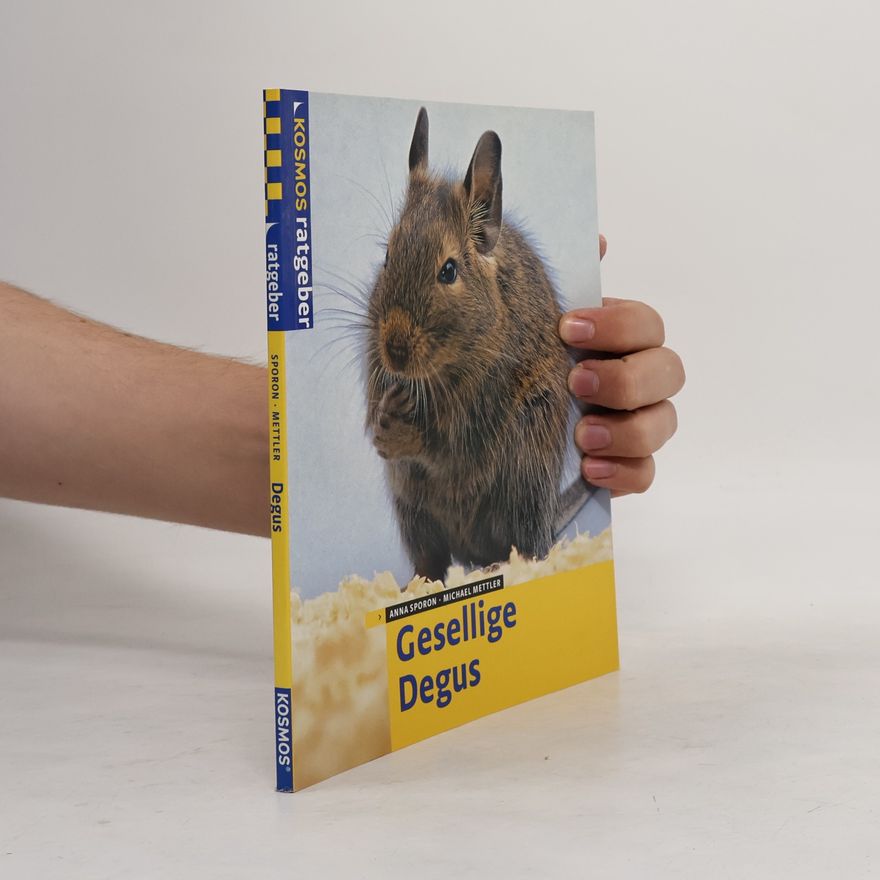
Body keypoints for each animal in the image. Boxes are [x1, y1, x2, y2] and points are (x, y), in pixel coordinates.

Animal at [364, 107, 587, 583]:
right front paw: (383, 417)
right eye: (388, 255)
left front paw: (398, 435)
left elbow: (447, 447)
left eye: (448, 271)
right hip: (412, 509)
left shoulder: (480, 411)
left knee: (529, 547)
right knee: (431, 559)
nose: (394, 351)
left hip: (524, 477)